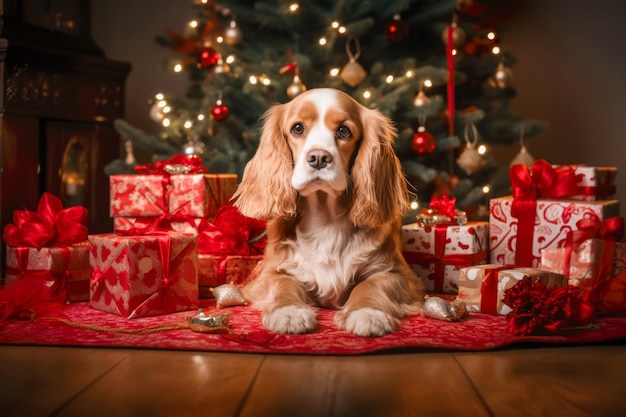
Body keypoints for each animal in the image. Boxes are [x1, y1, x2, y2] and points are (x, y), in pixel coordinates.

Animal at [232, 87, 422, 334]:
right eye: (297, 128)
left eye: (343, 131)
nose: (319, 158)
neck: (325, 218)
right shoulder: (270, 273)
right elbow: (284, 285)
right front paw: (289, 312)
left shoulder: (396, 274)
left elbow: (371, 286)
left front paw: (368, 313)